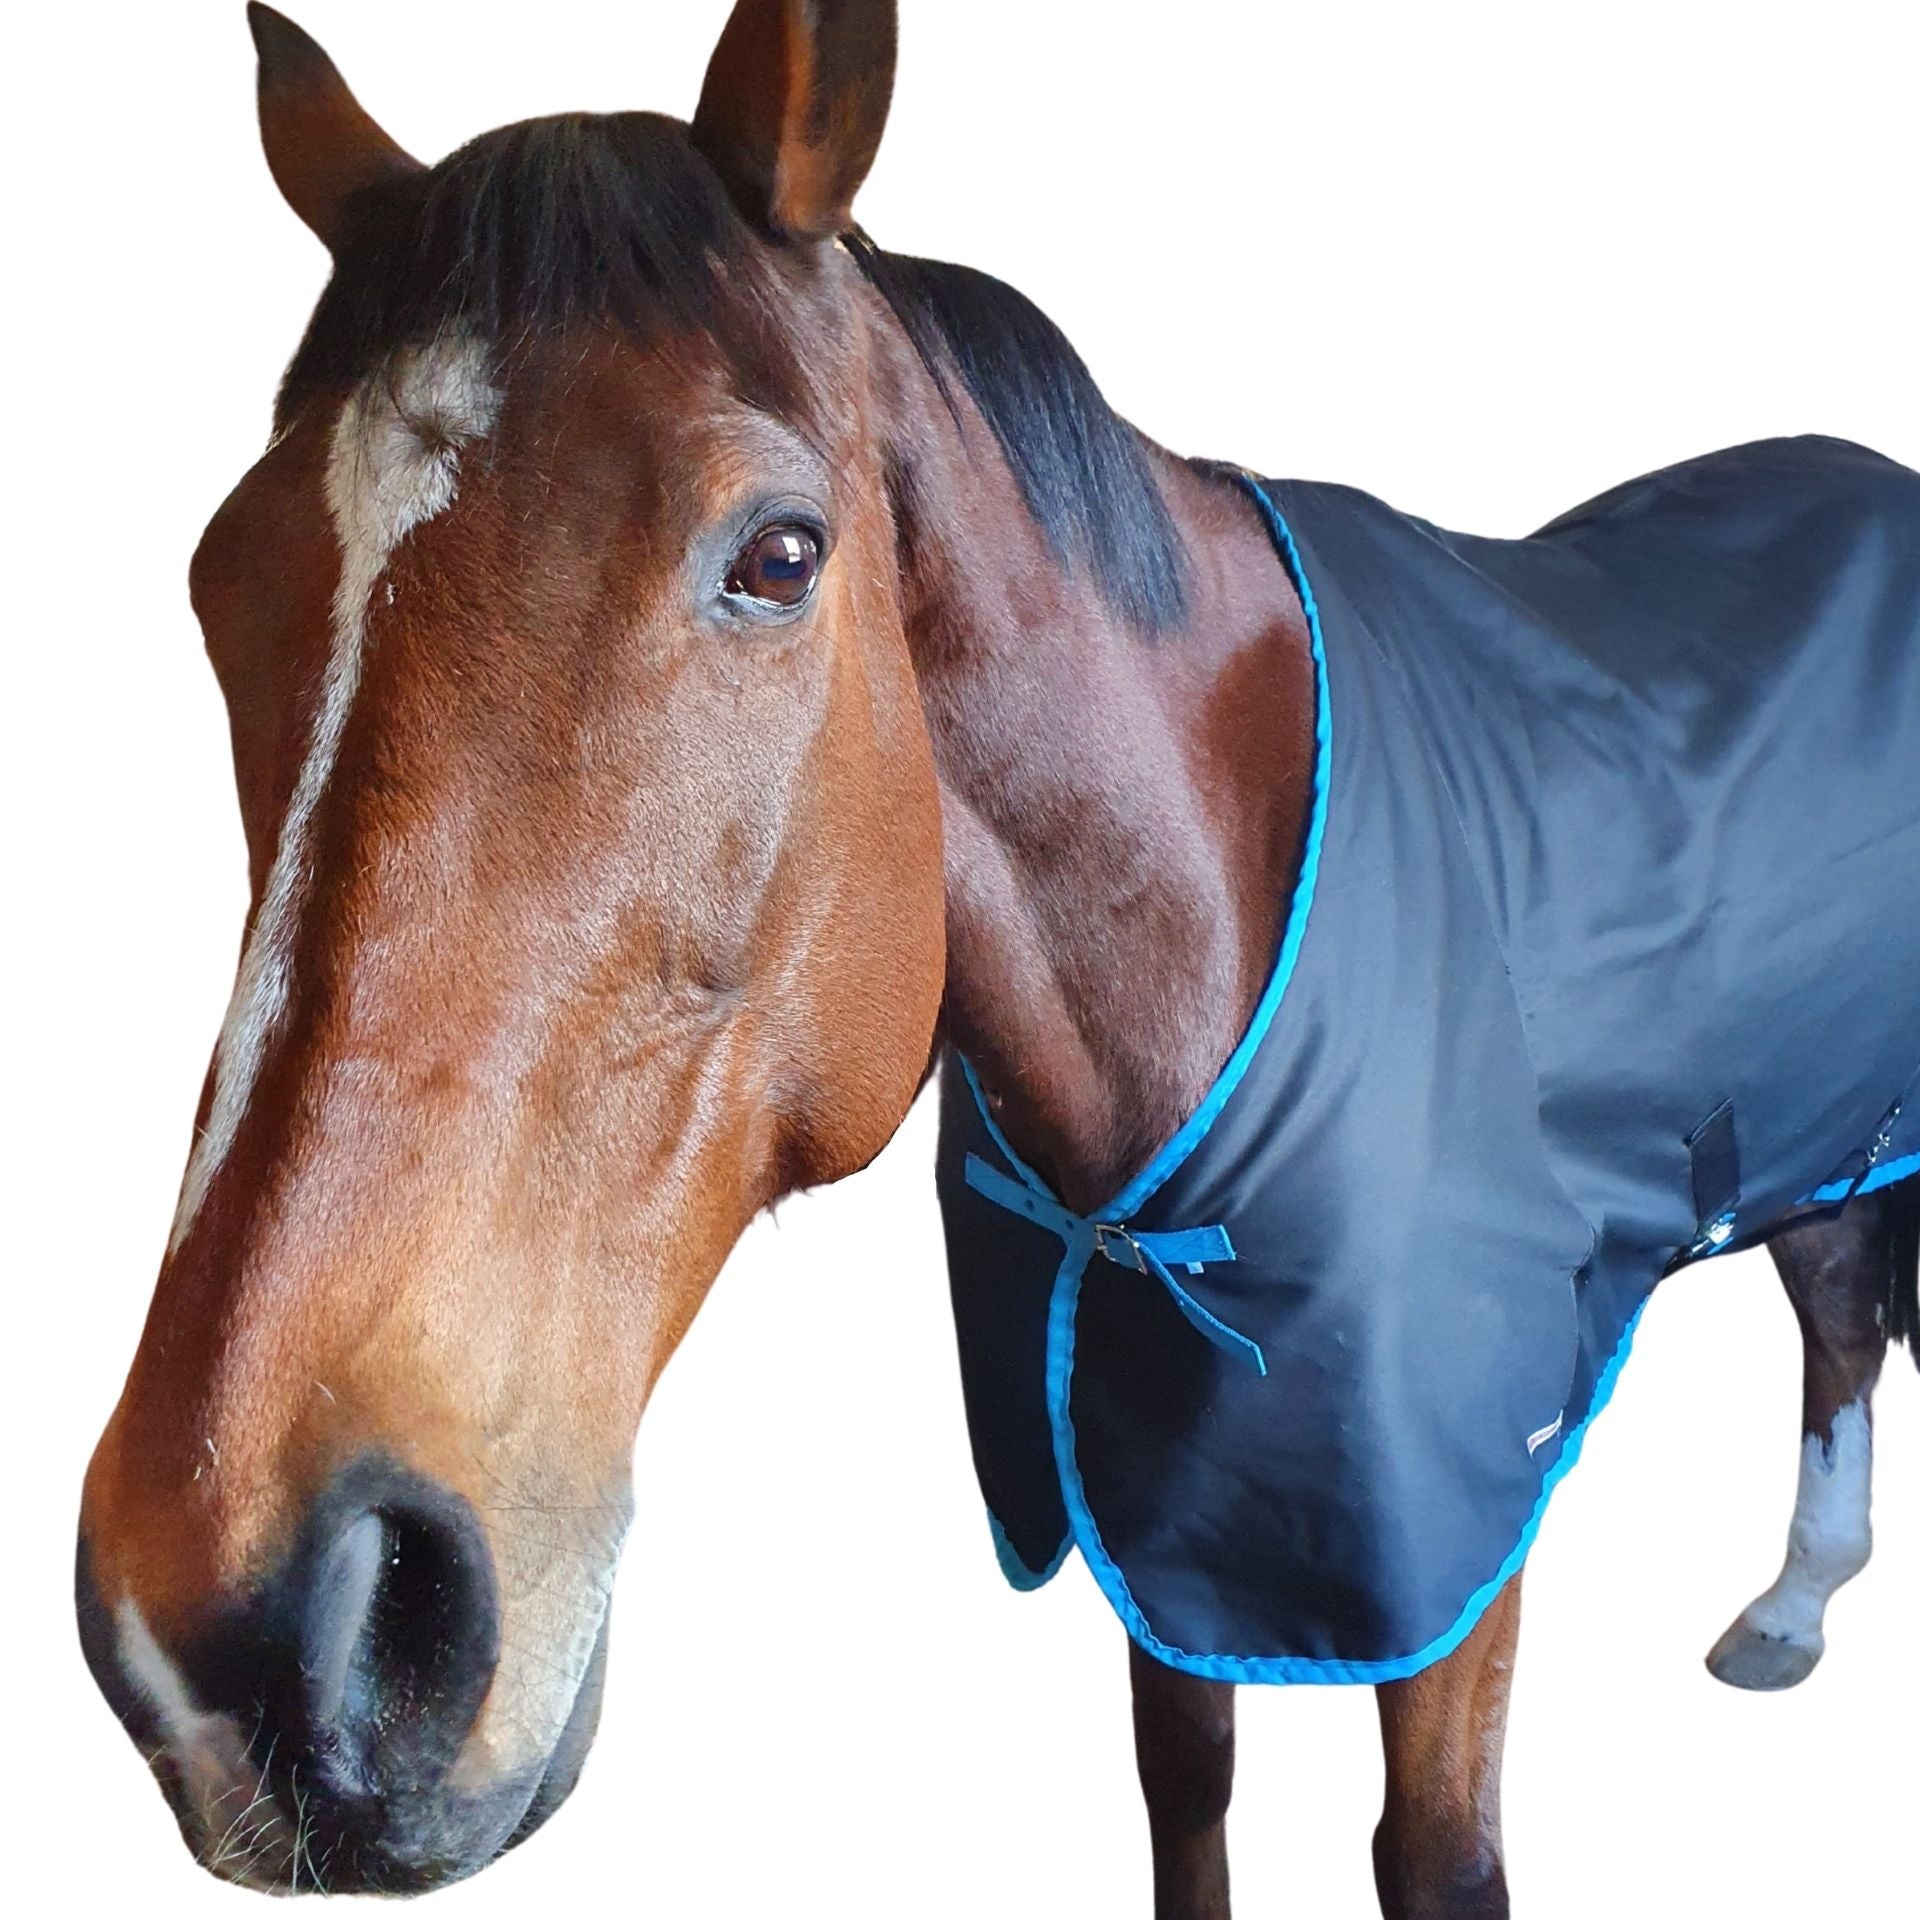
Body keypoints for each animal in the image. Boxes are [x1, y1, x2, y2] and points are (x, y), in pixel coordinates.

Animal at [76, 3, 1919, 1912]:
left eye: (779, 555)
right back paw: (1797, 1605)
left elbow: (1434, 1855)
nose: (242, 1632)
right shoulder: (1152, 1465)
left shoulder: (1452, 1515)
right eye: (219, 583)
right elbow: (1184, 1777)